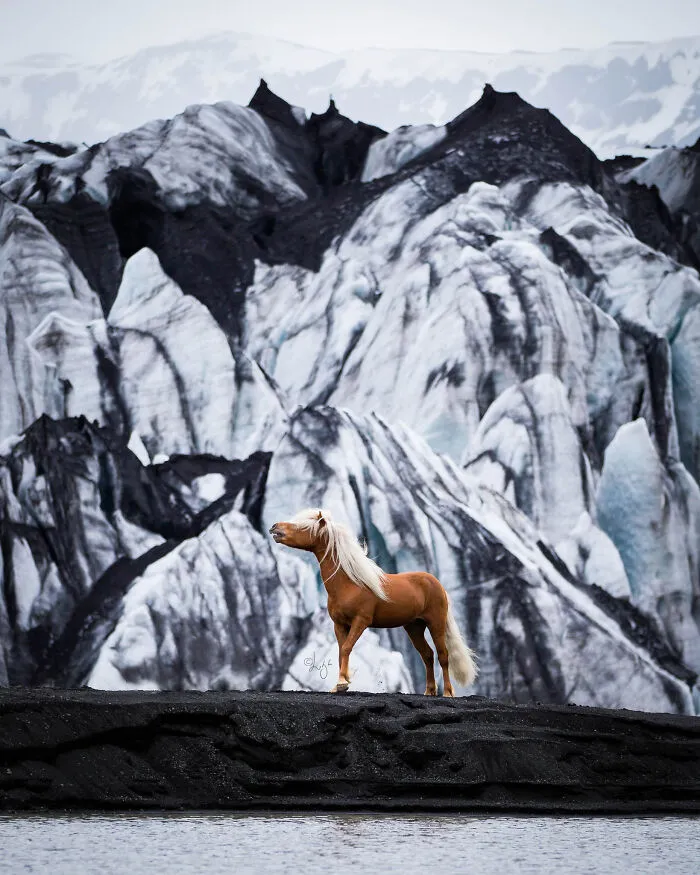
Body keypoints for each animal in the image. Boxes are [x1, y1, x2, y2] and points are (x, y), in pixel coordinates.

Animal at [269, 507, 478, 696]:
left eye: (302, 526)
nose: (274, 527)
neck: (349, 584)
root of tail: (435, 583)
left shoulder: (361, 621)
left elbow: (347, 648)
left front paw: (343, 683)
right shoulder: (339, 624)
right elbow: (340, 651)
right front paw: (340, 684)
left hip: (436, 623)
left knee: (443, 655)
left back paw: (448, 693)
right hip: (414, 626)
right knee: (427, 654)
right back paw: (429, 691)